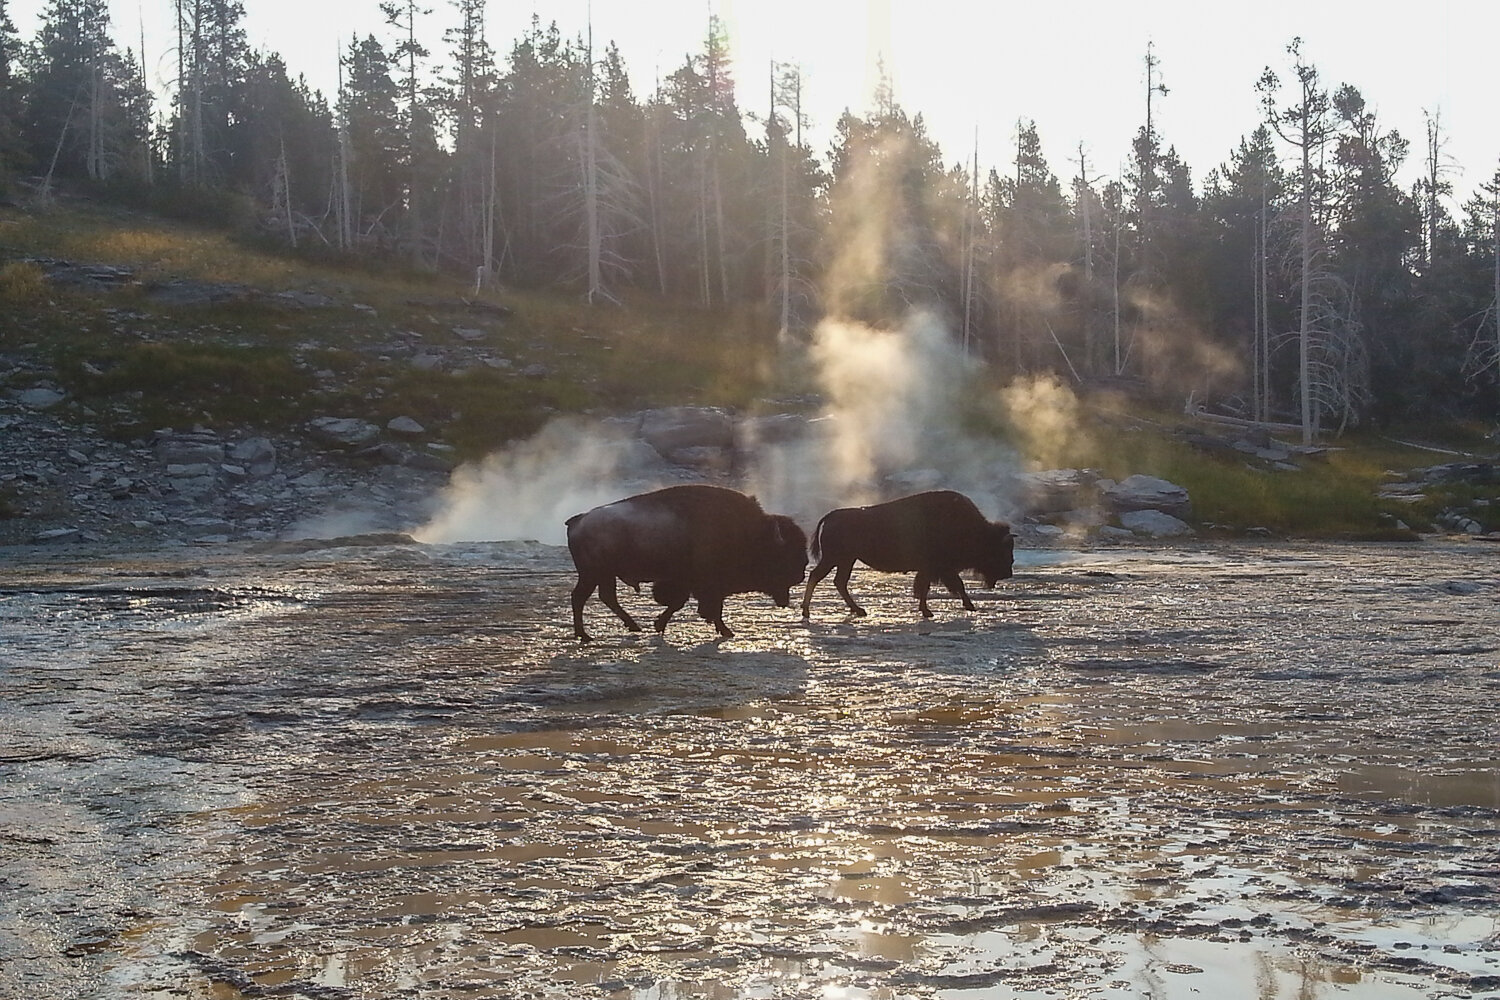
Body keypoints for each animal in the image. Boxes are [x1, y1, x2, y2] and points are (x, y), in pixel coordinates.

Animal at [564, 485, 810, 641]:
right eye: (784, 553)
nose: (801, 574)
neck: (752, 532)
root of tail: (578, 520)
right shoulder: (706, 585)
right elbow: (705, 608)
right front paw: (726, 631)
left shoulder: (693, 584)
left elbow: (682, 604)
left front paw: (659, 625)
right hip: (593, 574)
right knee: (581, 598)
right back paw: (585, 635)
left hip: (603, 575)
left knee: (605, 598)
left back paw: (632, 627)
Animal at [798, 491, 1020, 620]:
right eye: (1000, 550)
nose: (1008, 572)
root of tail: (830, 516)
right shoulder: (937, 568)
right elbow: (943, 586)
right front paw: (935, 610)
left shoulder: (935, 569)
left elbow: (932, 587)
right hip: (835, 559)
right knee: (817, 577)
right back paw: (807, 611)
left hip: (846, 560)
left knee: (838, 582)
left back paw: (858, 610)